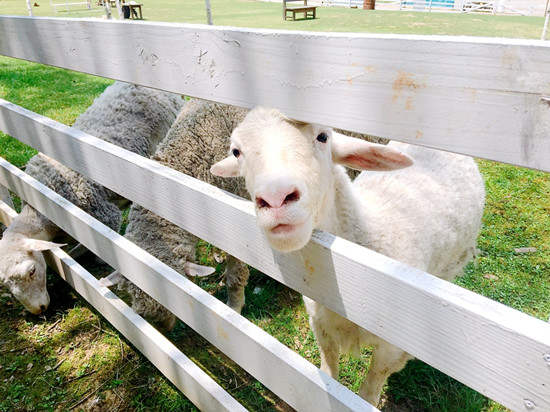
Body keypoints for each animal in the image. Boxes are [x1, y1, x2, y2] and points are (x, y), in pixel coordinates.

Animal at [211, 108, 488, 408]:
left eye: (323, 137)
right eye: (236, 151)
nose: (276, 199)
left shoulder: (390, 350)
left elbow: (370, 391)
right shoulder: (320, 325)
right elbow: (328, 372)